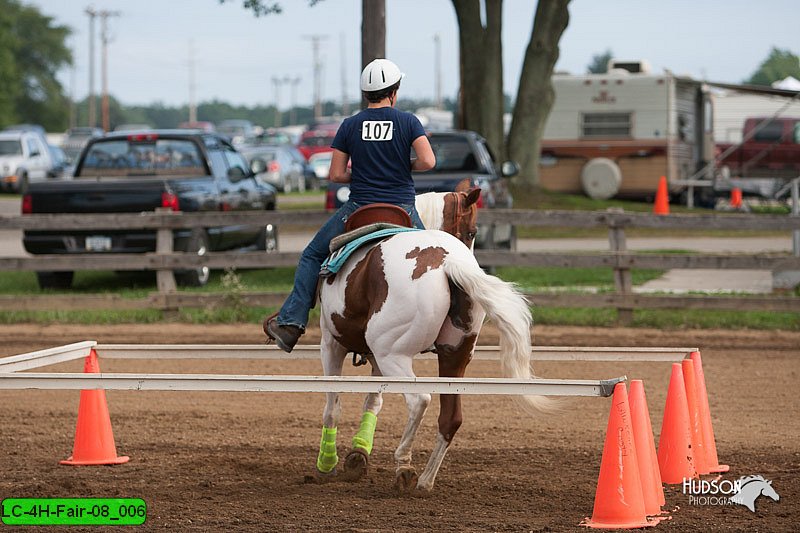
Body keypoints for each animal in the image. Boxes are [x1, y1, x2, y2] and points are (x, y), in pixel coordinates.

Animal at [312, 187, 552, 490]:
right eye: (472, 231)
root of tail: (449, 262)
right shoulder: (374, 357)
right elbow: (373, 401)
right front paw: (357, 455)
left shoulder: (332, 344)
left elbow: (333, 406)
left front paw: (327, 462)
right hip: (452, 356)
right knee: (451, 418)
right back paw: (426, 480)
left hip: (393, 355)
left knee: (419, 400)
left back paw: (404, 464)